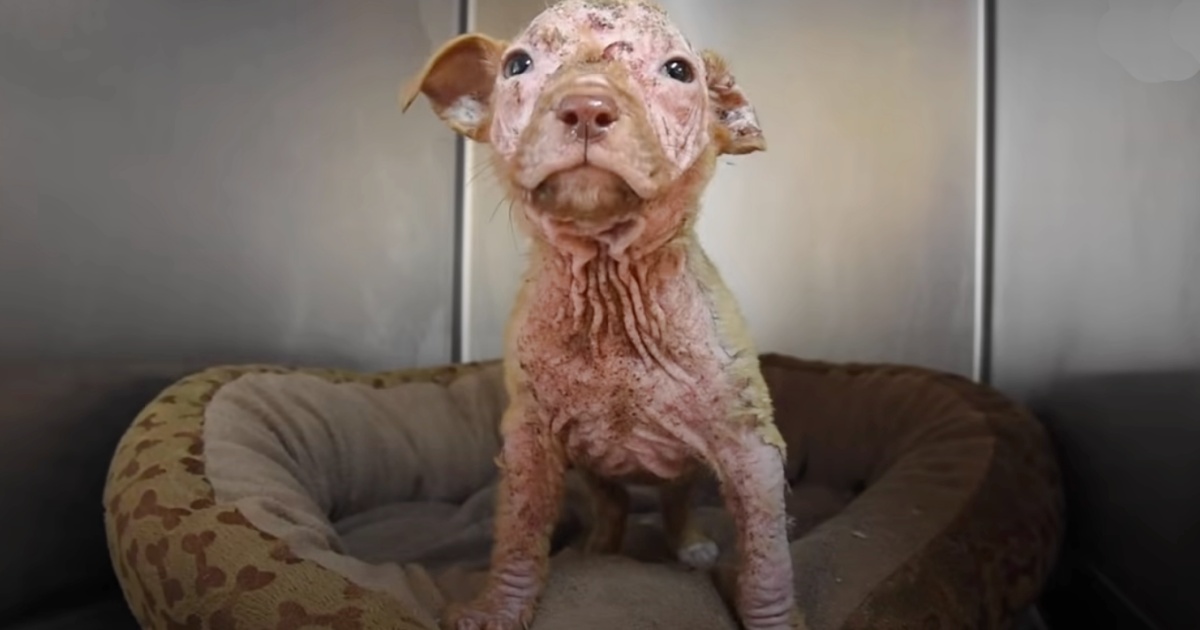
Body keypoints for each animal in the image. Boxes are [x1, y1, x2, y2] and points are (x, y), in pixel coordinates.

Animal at [403, 1, 796, 628]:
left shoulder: (753, 446)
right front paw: (498, 609)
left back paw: (689, 545)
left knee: (675, 502)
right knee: (613, 506)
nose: (586, 106)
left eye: (679, 71)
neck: (609, 289)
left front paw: (773, 617)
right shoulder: (529, 441)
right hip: (594, 472)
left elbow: (767, 565)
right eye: (517, 65)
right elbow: (518, 536)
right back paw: (598, 550)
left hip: (685, 469)